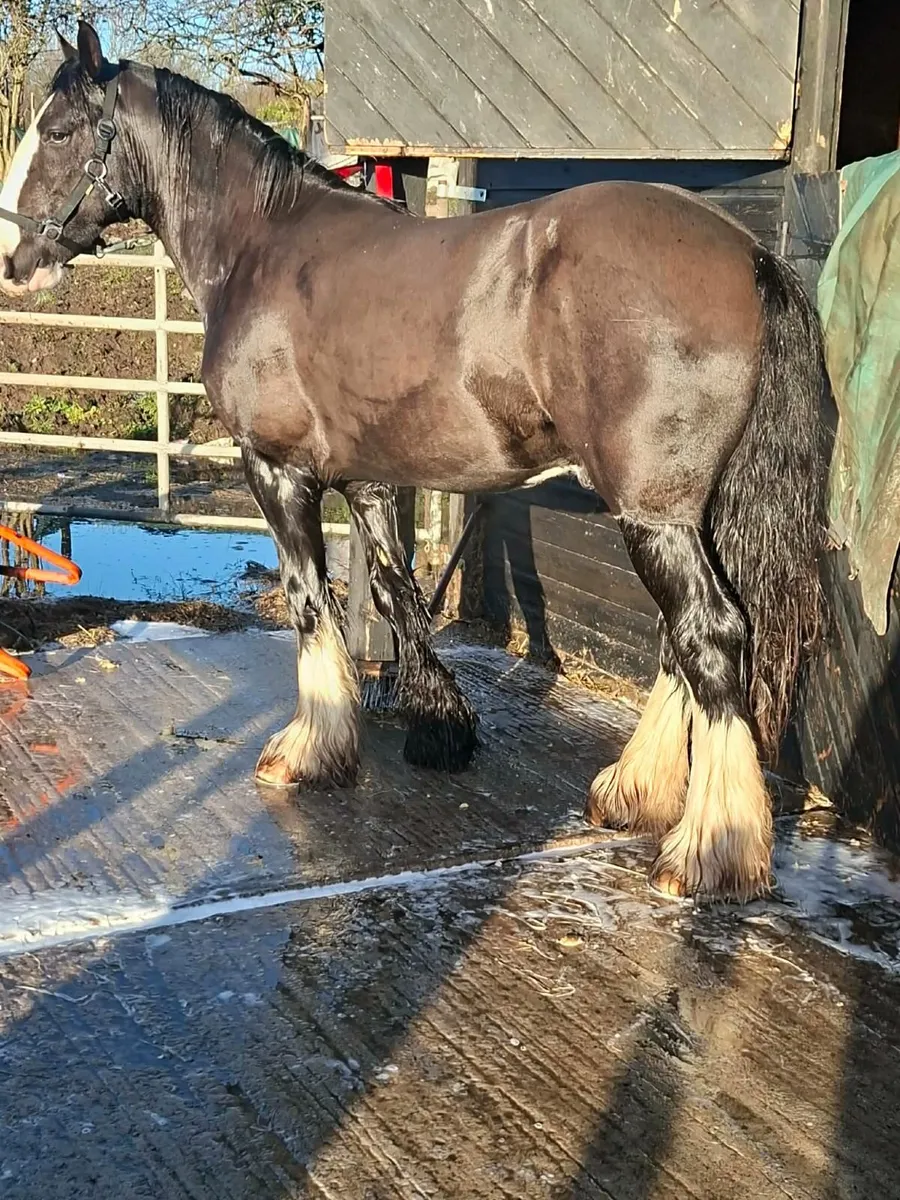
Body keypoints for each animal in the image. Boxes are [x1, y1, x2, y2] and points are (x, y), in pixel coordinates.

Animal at [0, 23, 828, 902]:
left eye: (59, 131)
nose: (13, 258)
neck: (262, 244)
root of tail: (747, 254)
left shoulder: (278, 472)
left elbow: (309, 601)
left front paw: (311, 750)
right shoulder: (367, 482)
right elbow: (398, 595)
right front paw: (440, 726)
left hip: (655, 514)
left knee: (709, 636)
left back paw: (710, 849)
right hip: (684, 513)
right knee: (684, 641)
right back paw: (636, 791)